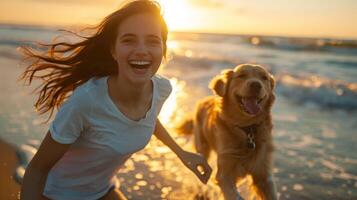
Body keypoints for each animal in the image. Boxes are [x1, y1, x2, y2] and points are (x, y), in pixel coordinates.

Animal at [178, 64, 278, 200]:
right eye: (241, 76)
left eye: (264, 78)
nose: (256, 85)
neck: (247, 129)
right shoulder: (225, 174)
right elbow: (235, 195)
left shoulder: (263, 174)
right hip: (202, 146)